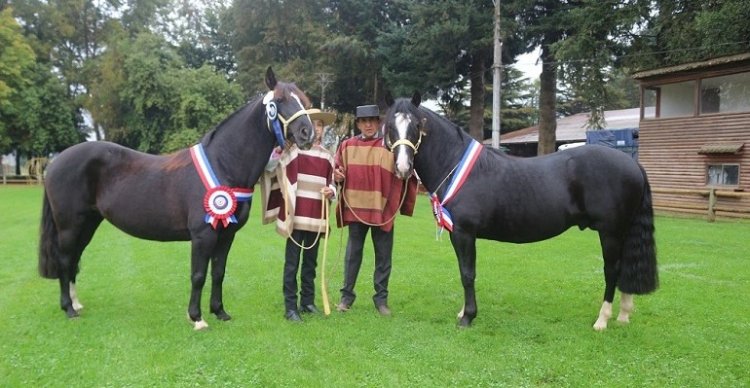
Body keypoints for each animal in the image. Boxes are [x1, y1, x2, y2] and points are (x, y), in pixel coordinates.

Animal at [39, 68, 316, 328]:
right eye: (278, 100)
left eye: (303, 100)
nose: (307, 133)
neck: (223, 163)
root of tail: (54, 163)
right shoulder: (203, 235)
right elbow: (198, 275)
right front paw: (197, 318)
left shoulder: (227, 234)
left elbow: (218, 272)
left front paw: (220, 312)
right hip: (70, 225)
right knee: (65, 260)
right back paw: (69, 308)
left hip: (88, 224)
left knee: (74, 259)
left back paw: (76, 303)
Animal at [384, 93, 660, 330]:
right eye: (389, 126)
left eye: (416, 125)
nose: (403, 167)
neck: (454, 165)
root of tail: (633, 164)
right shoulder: (459, 234)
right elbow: (465, 271)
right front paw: (464, 312)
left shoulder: (464, 233)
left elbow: (467, 274)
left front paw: (468, 317)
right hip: (622, 231)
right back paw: (623, 316)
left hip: (610, 232)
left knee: (612, 270)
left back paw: (602, 320)